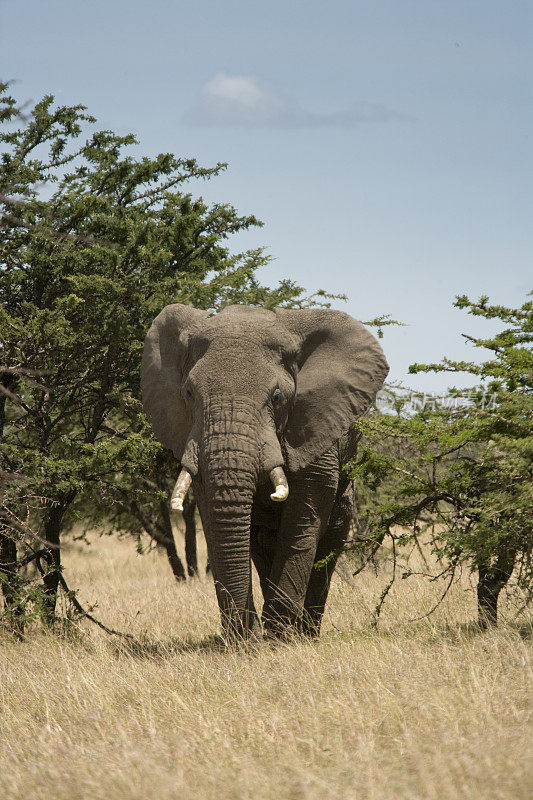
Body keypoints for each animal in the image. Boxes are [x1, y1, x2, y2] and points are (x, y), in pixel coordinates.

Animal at [141, 304, 388, 640]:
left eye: (277, 398)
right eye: (189, 393)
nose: (250, 638)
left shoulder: (315, 426)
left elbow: (303, 519)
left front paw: (280, 641)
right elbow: (213, 514)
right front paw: (249, 640)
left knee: (328, 545)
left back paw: (307, 633)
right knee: (261, 545)